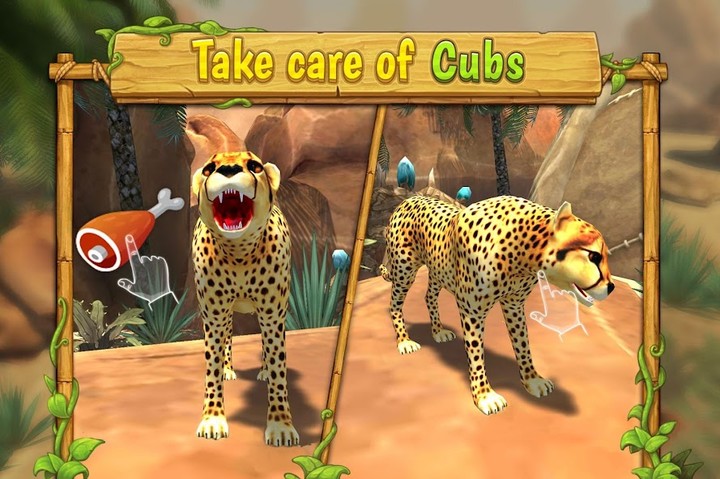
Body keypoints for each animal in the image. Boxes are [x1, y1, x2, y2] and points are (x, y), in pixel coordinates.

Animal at [379, 194, 615, 415]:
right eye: (593, 256)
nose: (611, 287)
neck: (523, 253)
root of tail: (409, 199)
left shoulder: (513, 304)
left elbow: (523, 345)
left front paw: (532, 380)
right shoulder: (472, 312)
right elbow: (476, 356)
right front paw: (485, 396)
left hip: (438, 270)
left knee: (428, 296)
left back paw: (438, 331)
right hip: (405, 271)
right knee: (394, 305)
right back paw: (404, 341)